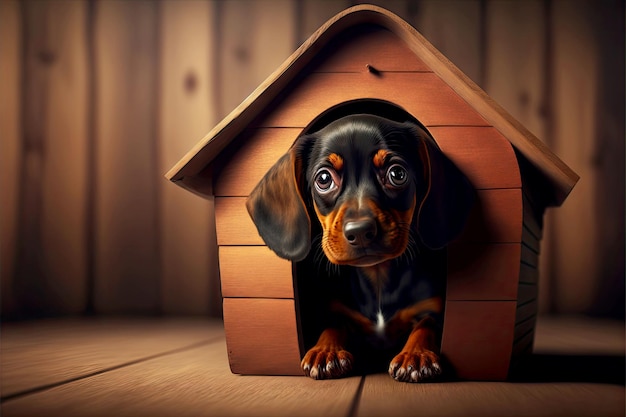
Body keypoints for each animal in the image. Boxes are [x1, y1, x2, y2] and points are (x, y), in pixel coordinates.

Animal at [246, 113, 470, 380]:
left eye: (397, 174)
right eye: (324, 179)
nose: (360, 232)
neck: (378, 277)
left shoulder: (432, 310)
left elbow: (426, 326)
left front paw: (416, 355)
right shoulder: (335, 311)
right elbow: (333, 325)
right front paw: (326, 351)